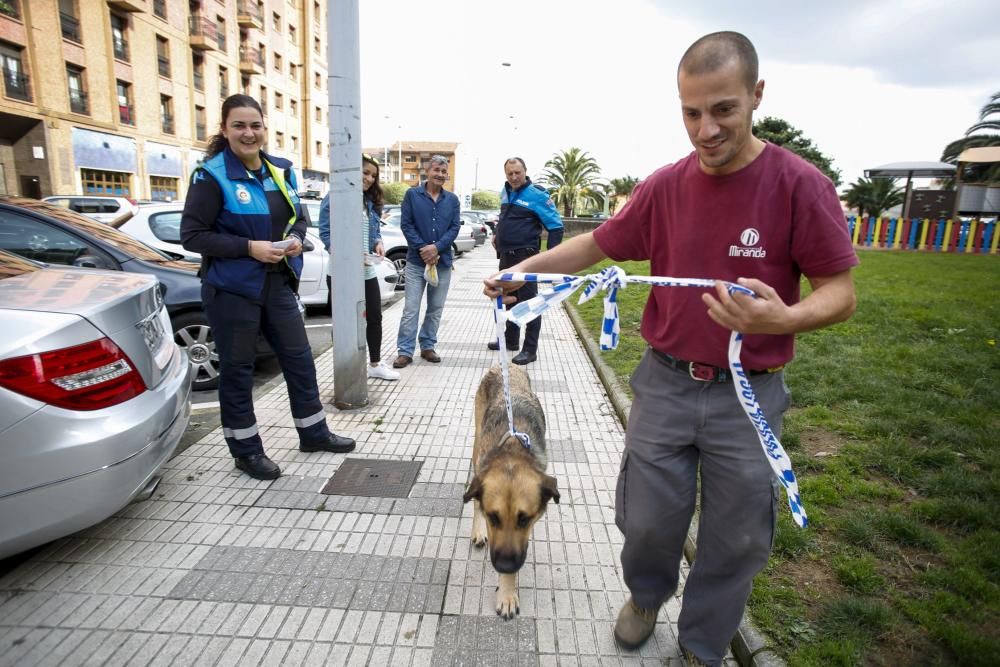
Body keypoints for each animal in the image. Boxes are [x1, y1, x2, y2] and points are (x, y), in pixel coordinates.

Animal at [462, 366, 560, 620]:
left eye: (524, 519)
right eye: (493, 517)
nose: (505, 566)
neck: (512, 450)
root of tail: (503, 366)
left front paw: (507, 589)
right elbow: (478, 504)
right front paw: (506, 592)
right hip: (477, 443)